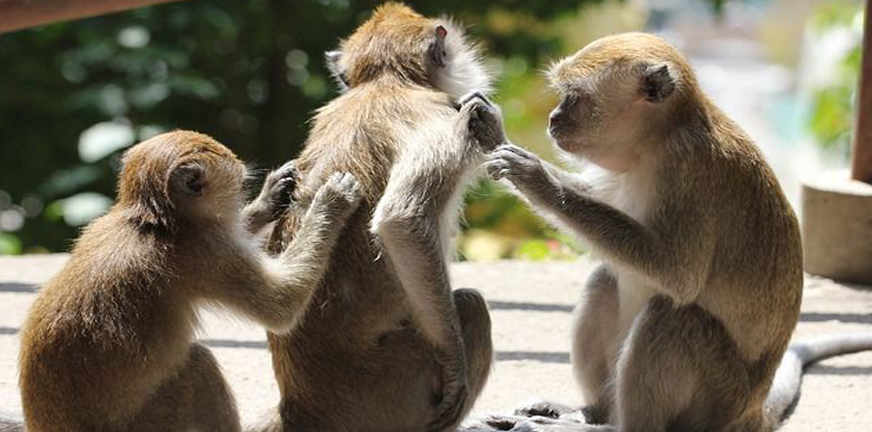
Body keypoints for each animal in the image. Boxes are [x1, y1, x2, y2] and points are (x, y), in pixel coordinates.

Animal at [17, 131, 364, 432]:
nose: (245, 193)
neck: (155, 221)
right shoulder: (205, 253)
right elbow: (280, 305)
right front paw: (330, 203)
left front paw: (270, 199)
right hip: (153, 423)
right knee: (198, 366)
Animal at [258, 3, 504, 432]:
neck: (384, 81)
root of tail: (299, 406)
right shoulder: (439, 116)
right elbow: (401, 221)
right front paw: (455, 367)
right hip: (387, 391)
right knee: (471, 306)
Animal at [476, 33, 872, 432]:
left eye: (575, 96)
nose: (554, 118)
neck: (657, 140)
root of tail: (751, 409)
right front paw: (493, 133)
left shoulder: (686, 170)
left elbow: (679, 275)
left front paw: (537, 179)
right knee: (605, 278)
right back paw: (590, 411)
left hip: (716, 398)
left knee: (673, 315)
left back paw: (611, 426)